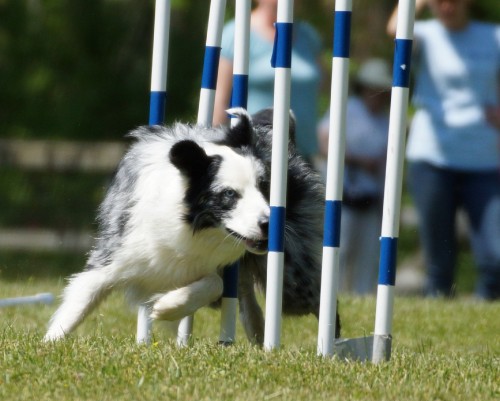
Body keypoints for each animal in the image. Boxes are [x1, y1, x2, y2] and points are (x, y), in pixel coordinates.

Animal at [45, 108, 340, 340]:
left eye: (264, 187)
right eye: (229, 194)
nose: (269, 224)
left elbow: (214, 284)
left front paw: (166, 306)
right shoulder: (113, 255)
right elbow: (78, 303)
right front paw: (50, 344)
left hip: (291, 281)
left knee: (321, 302)